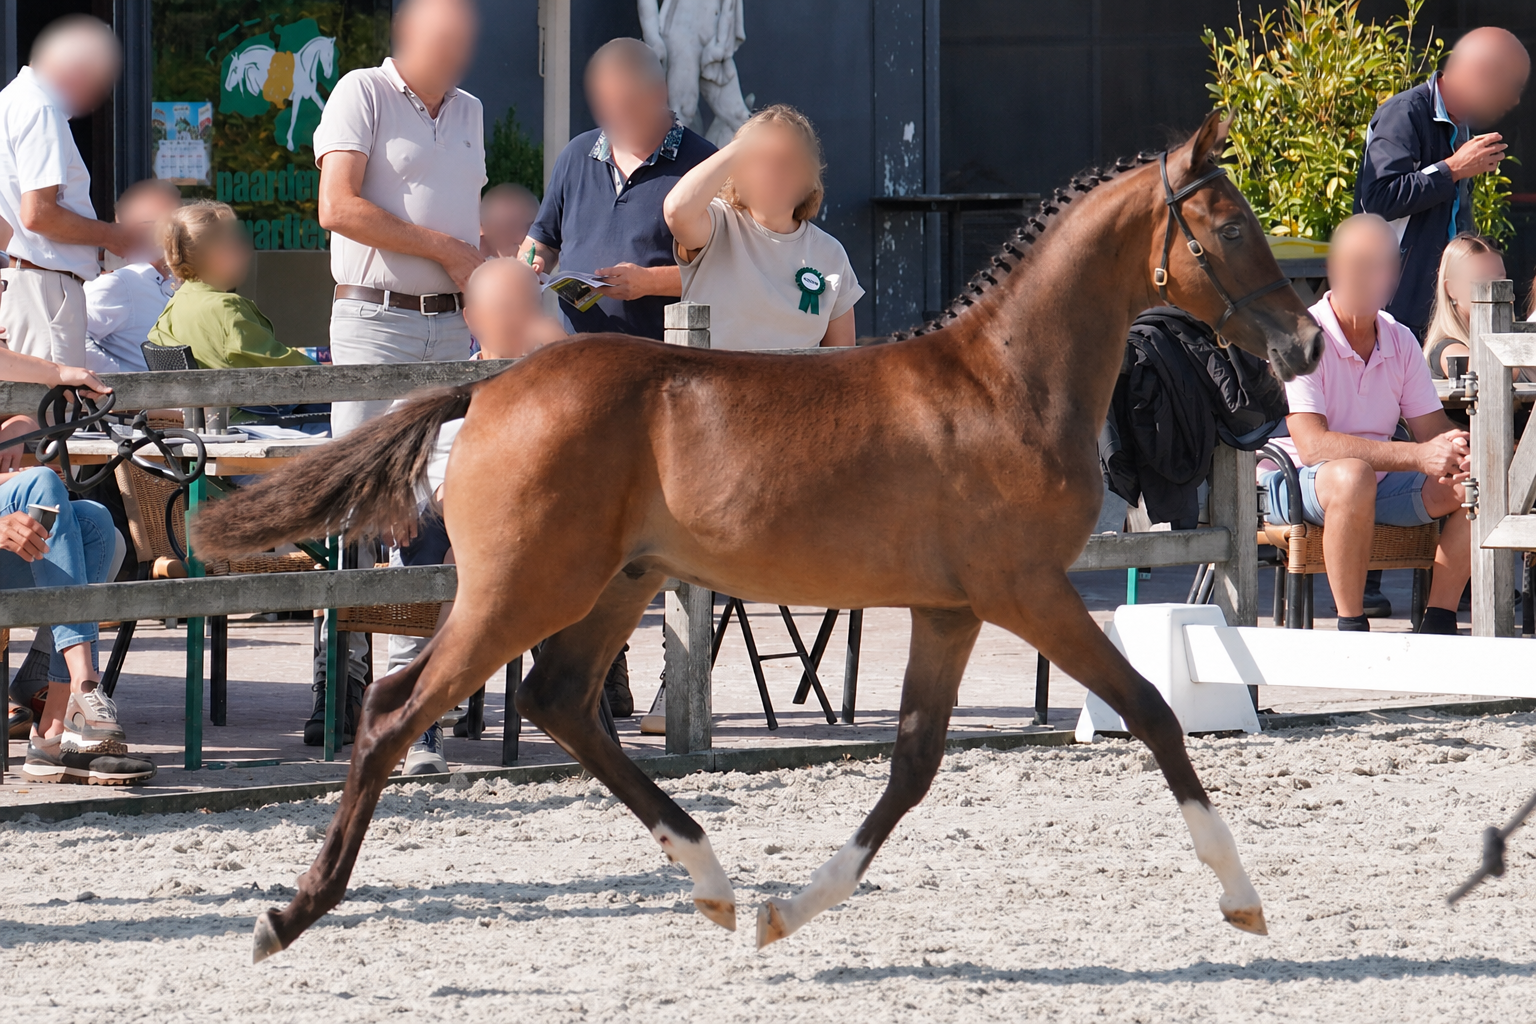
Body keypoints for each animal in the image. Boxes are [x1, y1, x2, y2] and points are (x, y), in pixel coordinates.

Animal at [194, 111, 1323, 962]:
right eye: (1228, 227)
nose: (1305, 342)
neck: (1004, 383)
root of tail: (495, 383)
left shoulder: (951, 609)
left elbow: (913, 766)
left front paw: (787, 912)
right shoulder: (1031, 591)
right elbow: (1152, 713)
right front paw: (1243, 896)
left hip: (614, 583)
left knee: (560, 700)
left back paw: (715, 883)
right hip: (522, 589)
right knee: (395, 710)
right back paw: (288, 914)